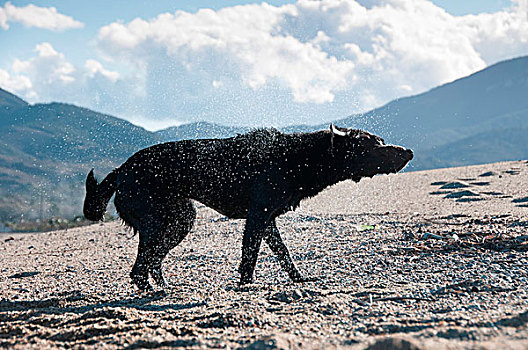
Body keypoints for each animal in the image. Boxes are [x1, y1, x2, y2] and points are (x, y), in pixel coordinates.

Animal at [83, 125, 412, 290]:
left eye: (381, 140)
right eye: (371, 145)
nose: (407, 151)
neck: (299, 157)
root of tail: (121, 170)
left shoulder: (268, 221)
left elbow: (283, 254)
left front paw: (298, 279)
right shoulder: (257, 216)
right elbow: (249, 257)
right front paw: (247, 286)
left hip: (180, 220)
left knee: (152, 263)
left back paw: (166, 288)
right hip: (160, 222)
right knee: (140, 269)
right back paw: (156, 292)